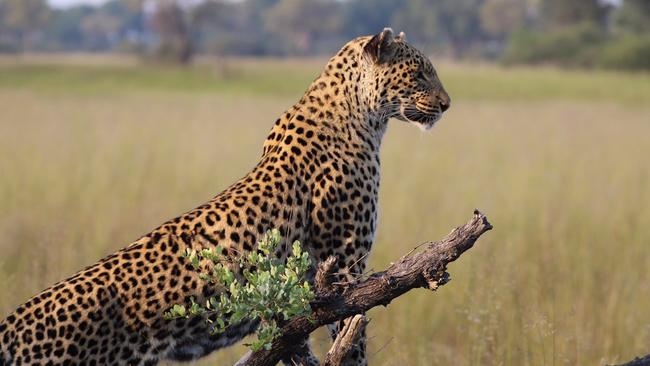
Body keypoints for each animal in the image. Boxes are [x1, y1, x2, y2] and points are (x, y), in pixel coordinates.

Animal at [0, 29, 448, 366]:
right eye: (420, 73)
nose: (447, 104)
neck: (364, 117)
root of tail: (11, 326)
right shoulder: (346, 266)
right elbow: (352, 338)